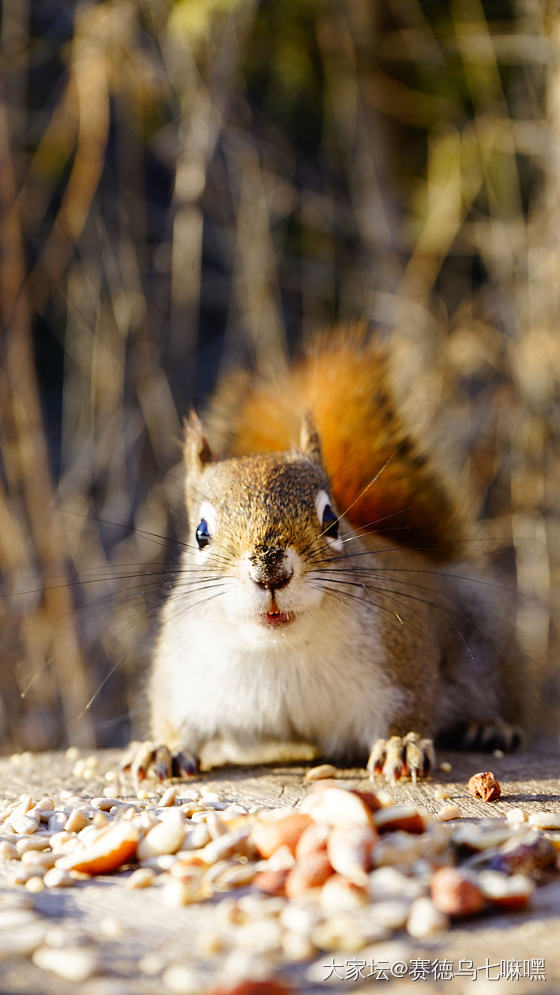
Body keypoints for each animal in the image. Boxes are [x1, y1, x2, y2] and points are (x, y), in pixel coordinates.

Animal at [129, 326, 528, 784]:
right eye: (200, 533)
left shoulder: (401, 662)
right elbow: (176, 723)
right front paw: (162, 749)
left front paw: (400, 745)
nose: (270, 571)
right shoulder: (183, 678)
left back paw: (488, 726)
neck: (280, 649)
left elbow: (410, 709)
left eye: (332, 520)